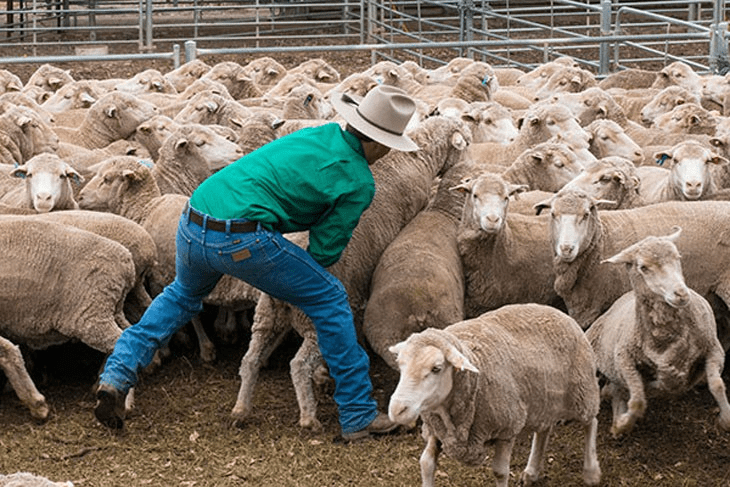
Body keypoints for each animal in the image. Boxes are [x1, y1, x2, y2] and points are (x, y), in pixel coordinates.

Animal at [386, 304, 596, 487]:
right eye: (400, 365)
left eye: (436, 368)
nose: (396, 411)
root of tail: (555, 310)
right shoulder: (435, 430)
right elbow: (426, 463)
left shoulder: (507, 429)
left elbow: (500, 472)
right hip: (543, 400)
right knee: (544, 430)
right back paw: (532, 472)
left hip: (582, 390)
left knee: (591, 422)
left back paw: (591, 472)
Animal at [584, 231, 728, 436]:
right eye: (643, 267)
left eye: (678, 258)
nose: (681, 294)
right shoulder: (624, 360)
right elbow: (638, 400)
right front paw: (623, 424)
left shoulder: (714, 348)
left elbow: (717, 385)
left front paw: (724, 420)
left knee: (619, 390)